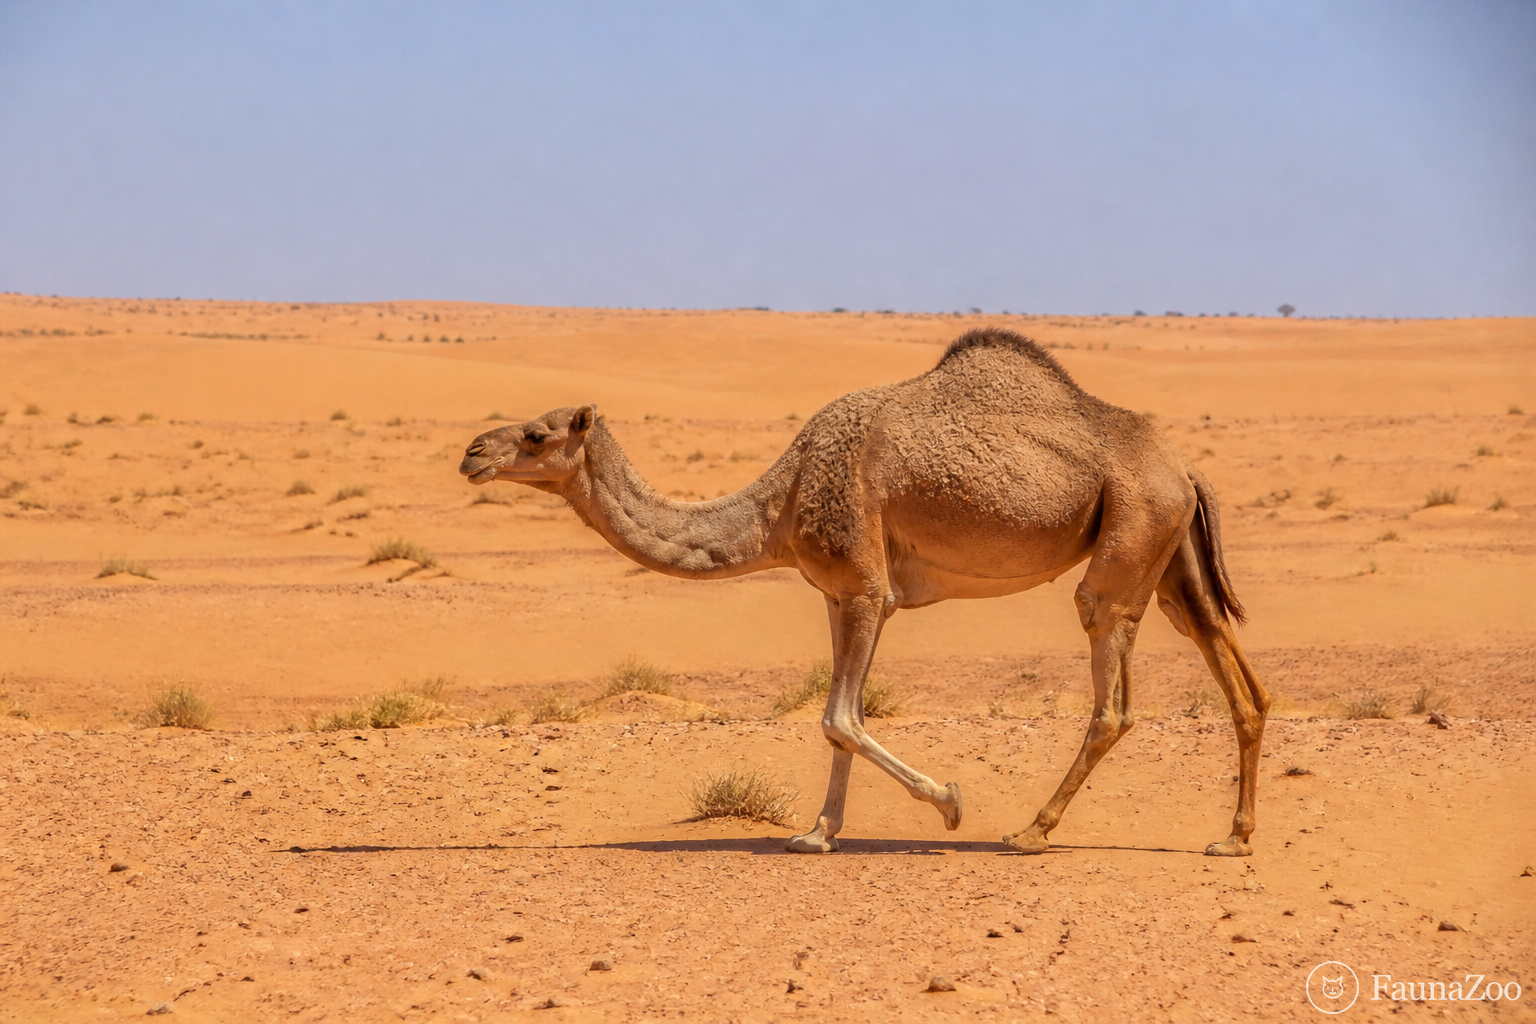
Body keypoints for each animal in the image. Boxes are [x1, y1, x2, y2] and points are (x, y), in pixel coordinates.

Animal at [459, 328, 1270, 857]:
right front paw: (818, 833)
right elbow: (837, 720)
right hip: (1169, 550)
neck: (782, 503)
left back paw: (1031, 832)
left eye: (536, 435)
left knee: (1111, 689)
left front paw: (948, 804)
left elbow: (839, 717)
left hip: (1132, 530)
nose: (471, 452)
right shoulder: (838, 591)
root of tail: (1185, 465)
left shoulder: (864, 586)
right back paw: (1233, 837)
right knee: (1234, 675)